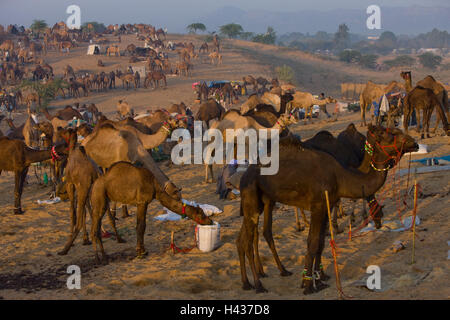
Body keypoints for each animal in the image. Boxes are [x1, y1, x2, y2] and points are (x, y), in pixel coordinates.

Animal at [237, 125, 420, 296]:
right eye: (390, 133)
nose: (414, 143)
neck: (340, 176)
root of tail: (244, 176)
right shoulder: (318, 206)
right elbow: (312, 243)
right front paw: (308, 285)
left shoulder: (326, 205)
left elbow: (321, 242)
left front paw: (320, 279)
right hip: (252, 195)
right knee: (248, 241)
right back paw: (259, 285)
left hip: (262, 201)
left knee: (245, 237)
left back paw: (249, 282)